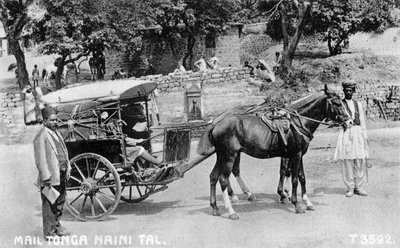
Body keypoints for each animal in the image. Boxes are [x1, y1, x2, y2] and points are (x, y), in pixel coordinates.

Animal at [197, 84, 350, 220]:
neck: (298, 122)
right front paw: (296, 203)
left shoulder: (299, 155)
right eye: (336, 103)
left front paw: (307, 202)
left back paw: (215, 207)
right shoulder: (295, 155)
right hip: (229, 156)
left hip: (221, 156)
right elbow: (294, 179)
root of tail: (216, 123)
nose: (349, 122)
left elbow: (302, 177)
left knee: (213, 177)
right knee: (223, 179)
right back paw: (231, 211)